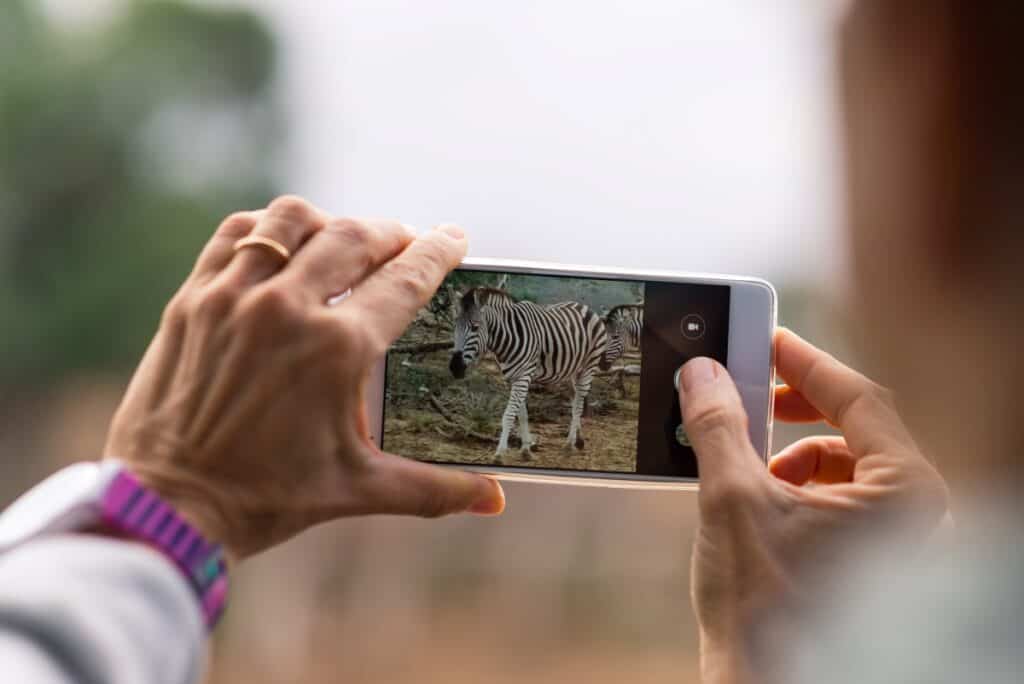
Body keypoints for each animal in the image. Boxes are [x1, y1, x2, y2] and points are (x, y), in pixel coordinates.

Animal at [448, 286, 606, 456]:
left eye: (475, 327)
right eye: (455, 326)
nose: (455, 367)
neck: (508, 338)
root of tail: (585, 307)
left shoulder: (523, 376)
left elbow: (509, 414)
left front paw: (500, 453)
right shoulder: (513, 378)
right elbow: (521, 414)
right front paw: (525, 449)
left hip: (589, 365)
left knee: (578, 403)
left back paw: (570, 444)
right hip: (568, 370)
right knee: (576, 398)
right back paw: (578, 439)